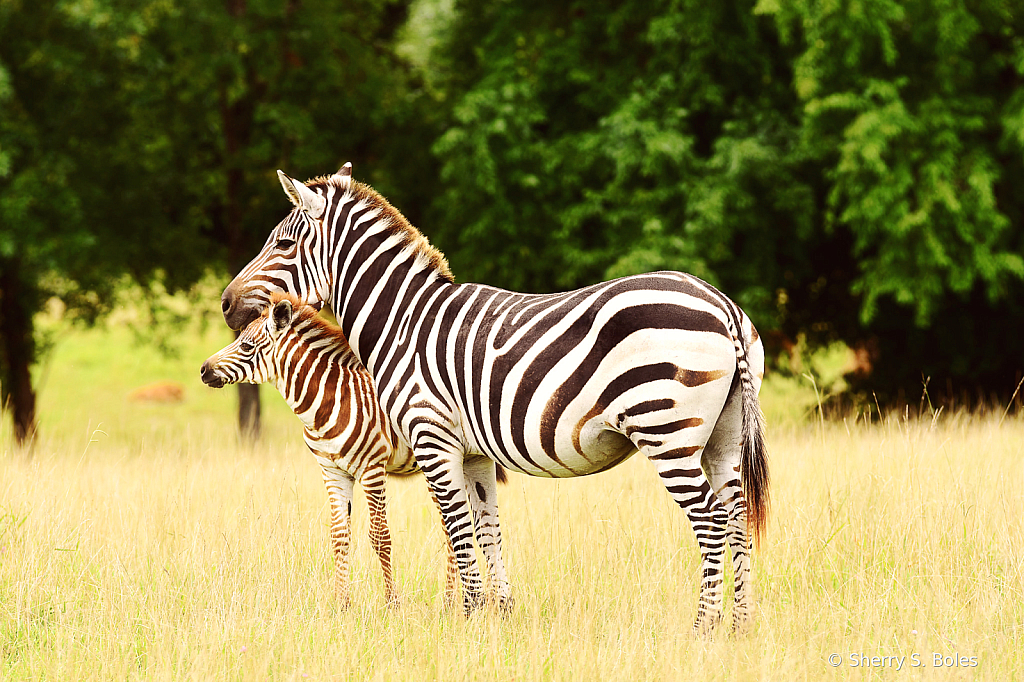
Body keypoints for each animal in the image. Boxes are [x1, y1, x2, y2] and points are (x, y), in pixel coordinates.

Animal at [222, 163, 770, 630]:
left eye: (283, 242)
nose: (226, 303)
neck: (404, 322)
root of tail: (722, 303)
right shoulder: (473, 453)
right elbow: (488, 529)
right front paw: (499, 616)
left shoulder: (432, 438)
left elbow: (459, 532)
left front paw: (466, 619)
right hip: (721, 437)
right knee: (738, 518)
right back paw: (740, 627)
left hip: (666, 431)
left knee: (711, 522)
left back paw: (704, 628)